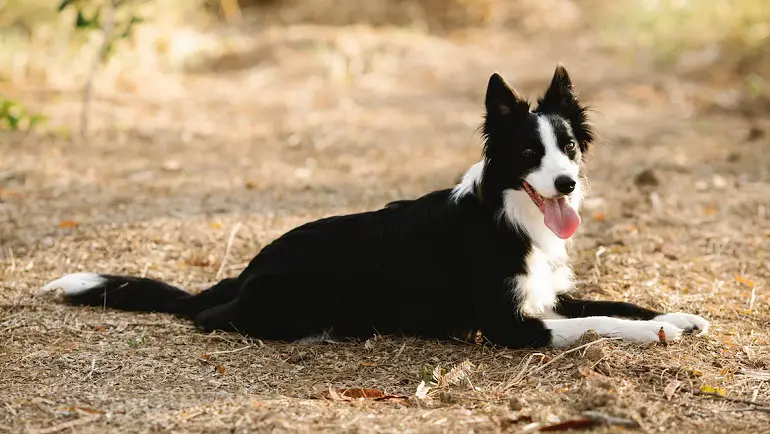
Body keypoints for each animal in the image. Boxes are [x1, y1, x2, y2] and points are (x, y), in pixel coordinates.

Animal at [40, 66, 708, 348]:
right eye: (527, 153)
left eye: (567, 146)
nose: (566, 184)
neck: (505, 215)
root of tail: (250, 267)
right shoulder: (509, 325)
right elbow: (602, 321)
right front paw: (656, 331)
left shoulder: (543, 293)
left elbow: (615, 301)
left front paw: (677, 315)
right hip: (299, 298)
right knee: (212, 318)